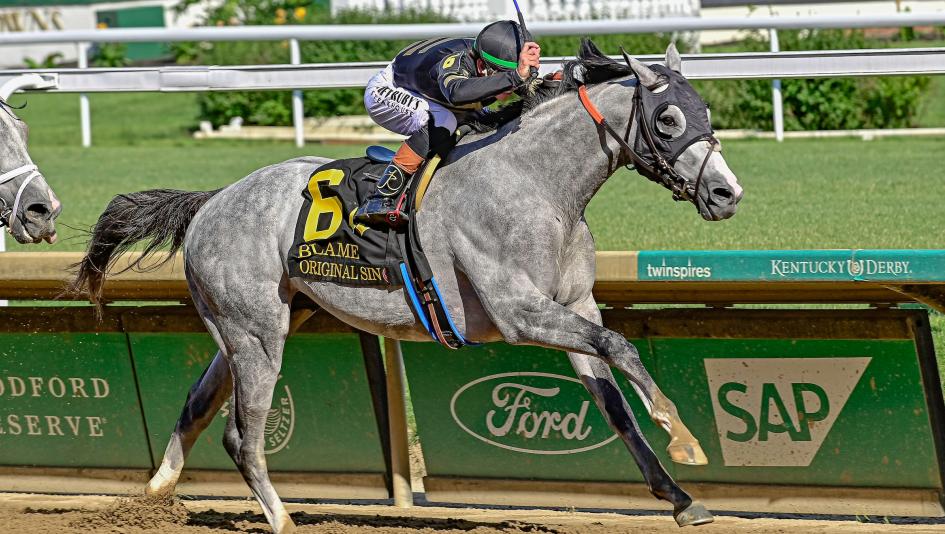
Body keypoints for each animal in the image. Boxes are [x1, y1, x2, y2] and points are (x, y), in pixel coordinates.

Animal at [71, 41, 742, 533]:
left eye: (708, 114)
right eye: (669, 118)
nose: (728, 193)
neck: (536, 185)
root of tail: (212, 201)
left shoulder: (572, 306)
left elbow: (613, 398)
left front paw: (681, 496)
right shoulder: (521, 312)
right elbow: (622, 348)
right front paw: (685, 438)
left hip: (259, 324)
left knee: (197, 401)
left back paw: (153, 492)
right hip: (258, 336)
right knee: (242, 433)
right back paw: (281, 519)